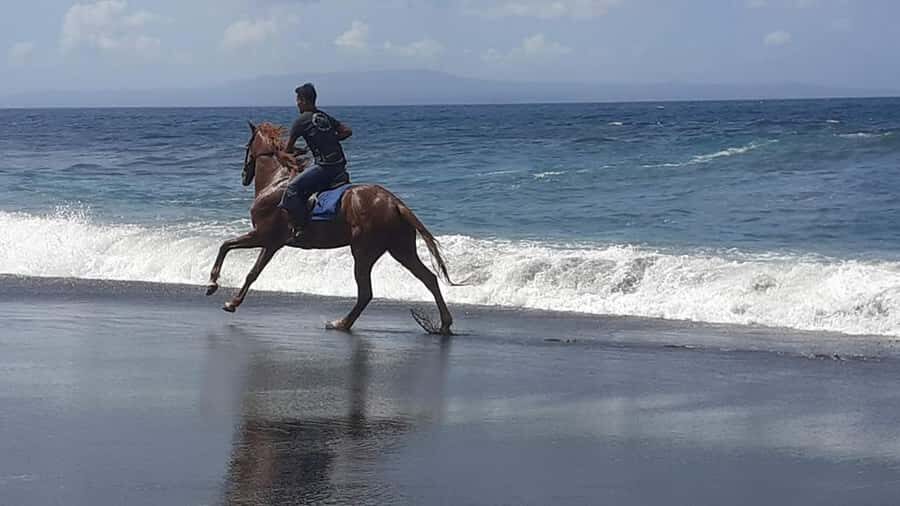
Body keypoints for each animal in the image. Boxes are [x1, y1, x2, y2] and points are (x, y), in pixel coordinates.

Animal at [205, 122, 457, 335]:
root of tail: (394, 202)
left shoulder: (264, 237)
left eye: (247, 146)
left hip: (364, 251)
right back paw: (444, 324)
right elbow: (250, 268)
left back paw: (341, 323)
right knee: (429, 278)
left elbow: (230, 251)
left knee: (366, 292)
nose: (243, 176)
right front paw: (228, 298)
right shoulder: (271, 243)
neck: (275, 183)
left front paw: (216, 288)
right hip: (400, 249)